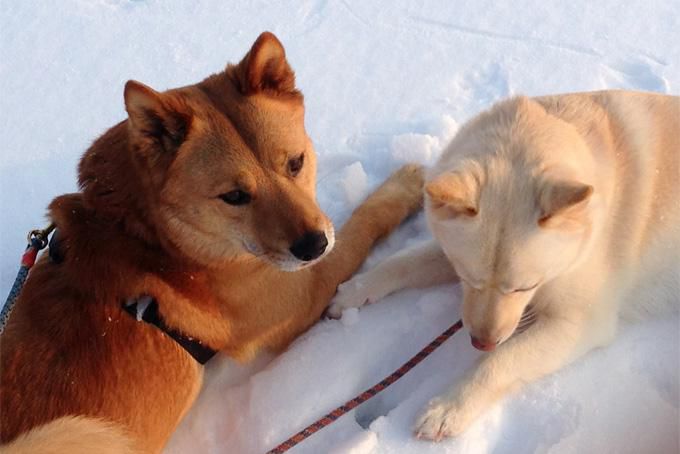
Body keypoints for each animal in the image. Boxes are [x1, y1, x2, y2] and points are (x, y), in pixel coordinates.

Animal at [1, 30, 424, 452]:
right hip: (77, 431)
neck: (146, 233)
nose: (313, 246)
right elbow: (363, 222)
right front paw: (403, 188)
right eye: (234, 196)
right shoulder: (303, 292)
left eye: (296, 163)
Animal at [328, 90, 676, 442]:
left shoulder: (581, 323)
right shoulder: (450, 253)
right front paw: (353, 291)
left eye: (524, 286)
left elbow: (500, 361)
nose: (482, 342)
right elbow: (401, 263)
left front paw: (449, 408)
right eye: (468, 278)